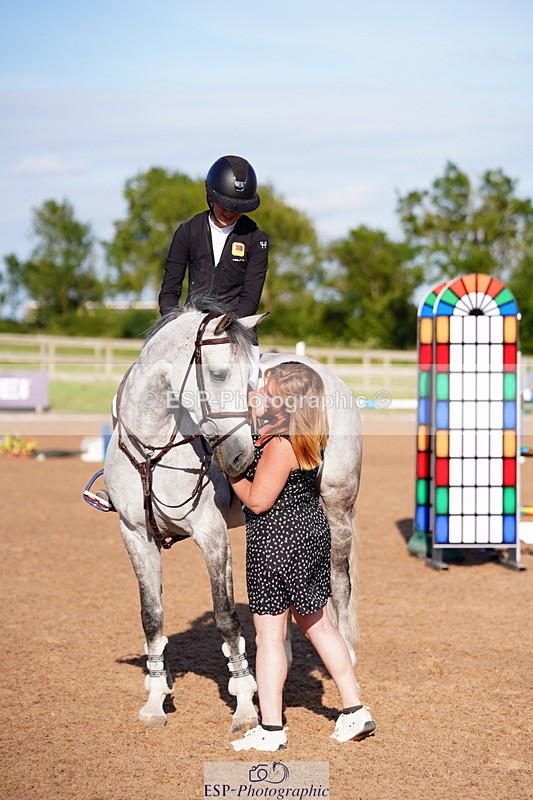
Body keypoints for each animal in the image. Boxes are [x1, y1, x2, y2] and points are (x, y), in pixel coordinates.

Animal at [103, 296, 362, 732]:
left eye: (250, 380)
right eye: (219, 374)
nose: (240, 458)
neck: (155, 450)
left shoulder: (212, 536)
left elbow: (225, 617)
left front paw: (244, 706)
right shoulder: (135, 535)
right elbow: (151, 616)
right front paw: (155, 700)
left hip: (337, 506)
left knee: (340, 584)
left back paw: (345, 652)